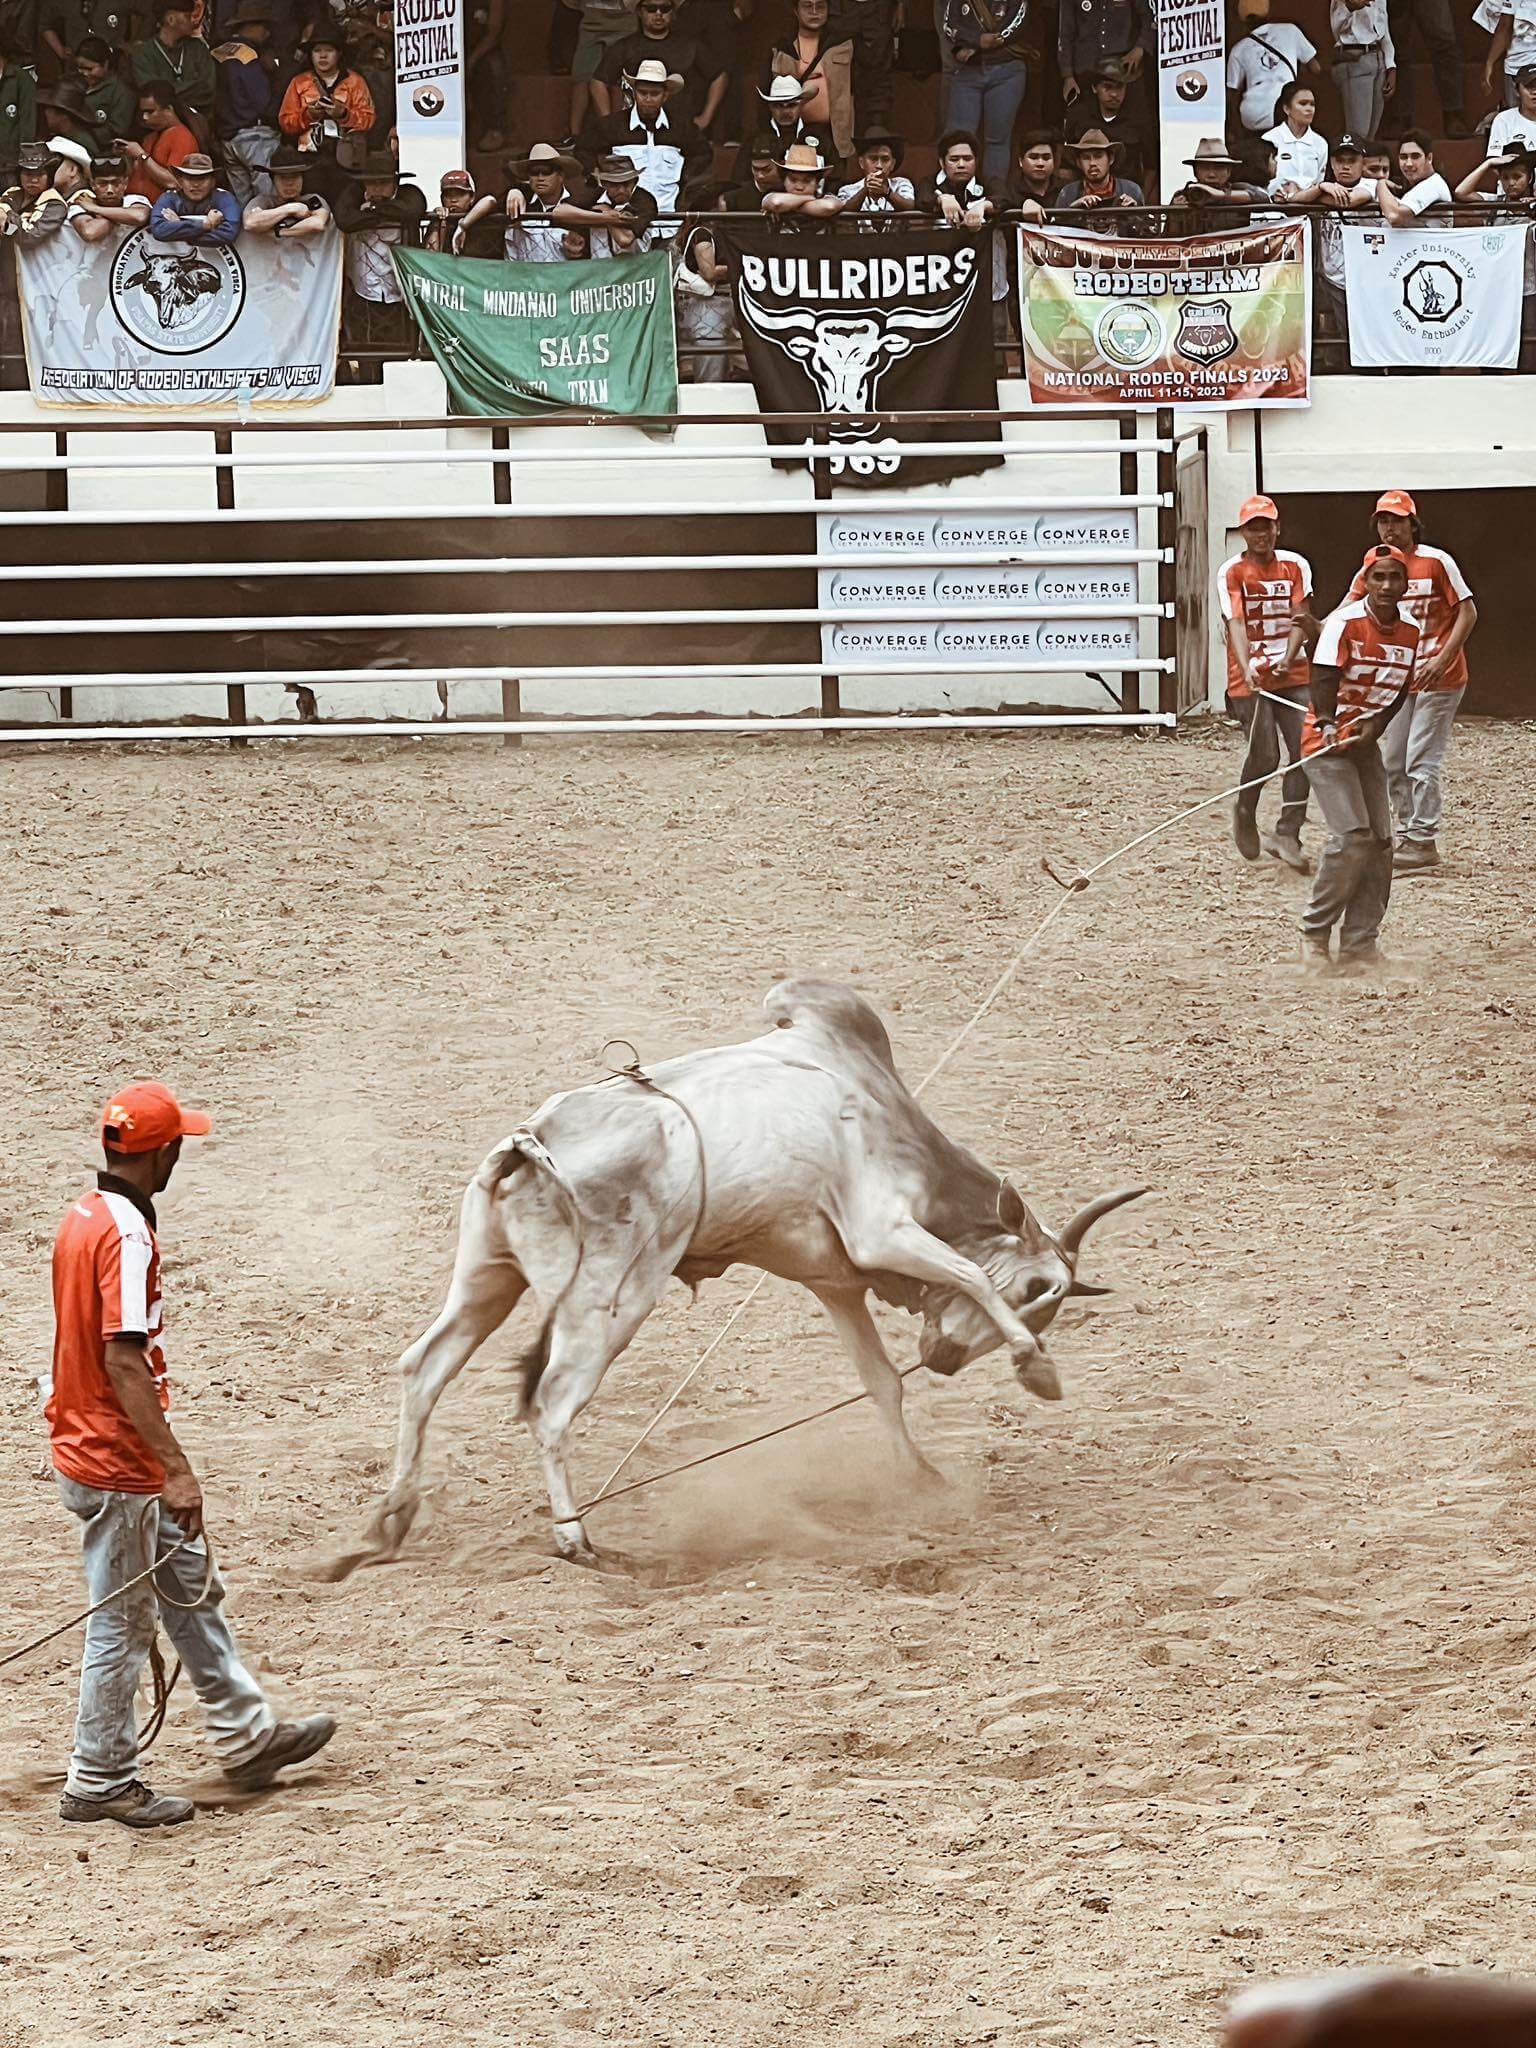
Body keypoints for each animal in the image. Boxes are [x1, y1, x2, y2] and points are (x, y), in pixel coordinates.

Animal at [346, 974, 1146, 1564]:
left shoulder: (834, 1283)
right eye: (1039, 1289)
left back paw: (393, 1515)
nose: (946, 1359)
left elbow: (882, 1383)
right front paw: (1035, 1367)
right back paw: (573, 1535)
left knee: (424, 1368)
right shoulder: (881, 1232)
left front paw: (920, 1475)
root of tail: (528, 1143)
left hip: (487, 1280)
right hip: (606, 1305)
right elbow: (970, 1276)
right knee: (551, 1404)